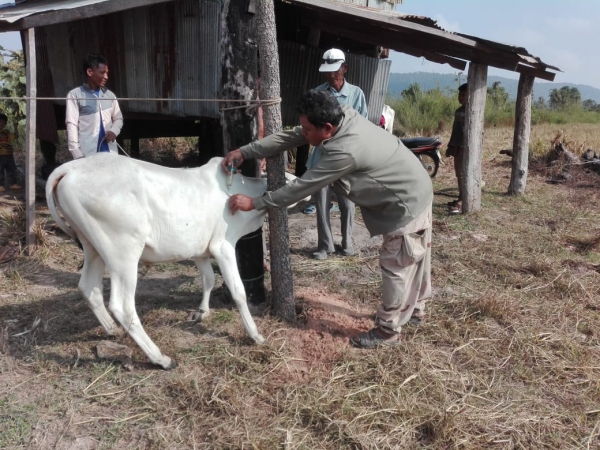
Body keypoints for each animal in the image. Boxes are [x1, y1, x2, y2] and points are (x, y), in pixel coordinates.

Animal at [46, 155, 292, 370]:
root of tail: (70, 168)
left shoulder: (199, 251)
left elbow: (208, 279)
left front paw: (201, 312)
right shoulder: (222, 246)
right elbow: (238, 291)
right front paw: (255, 334)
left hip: (92, 247)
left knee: (89, 288)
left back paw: (112, 330)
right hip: (123, 254)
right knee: (122, 306)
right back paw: (160, 359)